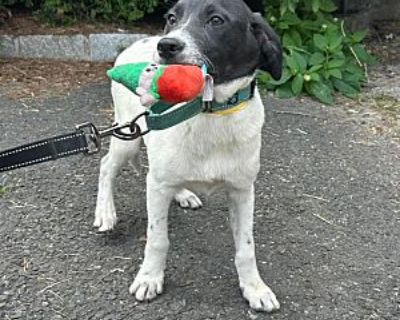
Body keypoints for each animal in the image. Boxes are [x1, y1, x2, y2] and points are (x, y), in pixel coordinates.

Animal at [93, 0, 282, 312]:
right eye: (171, 18)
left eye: (216, 20)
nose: (165, 46)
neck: (209, 110)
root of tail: (135, 43)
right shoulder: (156, 186)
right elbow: (158, 239)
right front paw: (149, 278)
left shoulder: (242, 190)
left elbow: (246, 247)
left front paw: (255, 287)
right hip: (127, 136)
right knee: (106, 165)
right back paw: (105, 212)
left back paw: (183, 193)